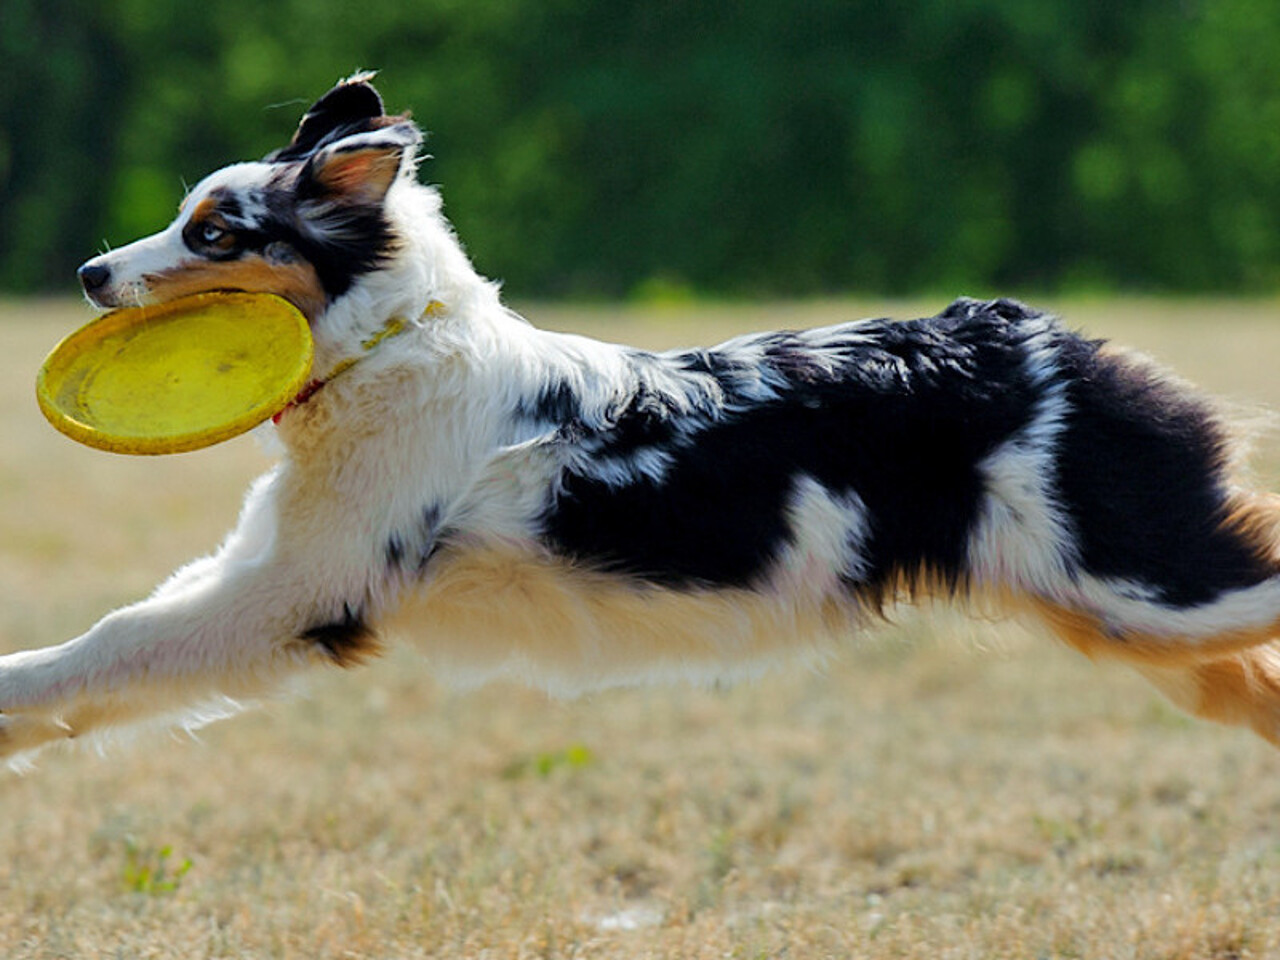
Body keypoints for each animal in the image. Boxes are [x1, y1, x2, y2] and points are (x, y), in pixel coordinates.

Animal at [2, 71, 1280, 773]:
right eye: (186, 217)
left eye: (217, 232)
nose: (87, 272)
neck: (392, 344)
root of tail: (1055, 340)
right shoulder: (274, 568)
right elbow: (113, 656)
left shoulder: (295, 592)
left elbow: (109, 644)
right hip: (1138, 632)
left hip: (1154, 590)